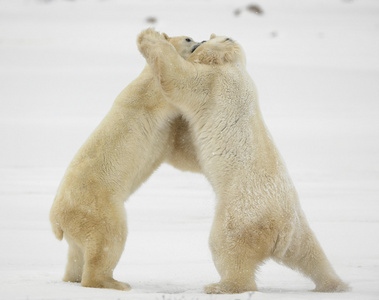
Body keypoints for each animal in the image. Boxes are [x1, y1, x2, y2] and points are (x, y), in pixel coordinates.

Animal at [50, 32, 202, 290]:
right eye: (188, 38)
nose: (201, 42)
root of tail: (57, 219)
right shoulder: (149, 94)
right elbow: (169, 91)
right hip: (98, 207)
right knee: (110, 238)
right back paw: (115, 282)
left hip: (76, 229)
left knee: (76, 255)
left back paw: (75, 277)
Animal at [139, 29, 350, 294]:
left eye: (206, 41)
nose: (198, 40)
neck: (235, 67)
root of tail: (279, 228)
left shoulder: (213, 84)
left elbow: (179, 79)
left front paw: (150, 38)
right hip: (298, 227)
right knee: (311, 254)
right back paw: (335, 284)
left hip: (239, 216)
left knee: (227, 248)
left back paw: (221, 286)